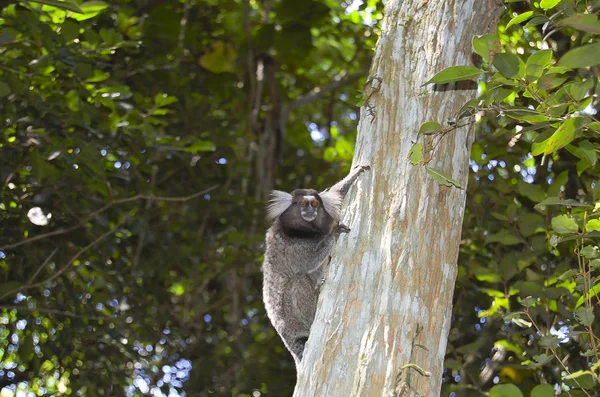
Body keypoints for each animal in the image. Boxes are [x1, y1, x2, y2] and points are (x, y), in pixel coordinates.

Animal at [260, 163, 368, 366]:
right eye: (303, 204)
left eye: (316, 204)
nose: (311, 211)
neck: (303, 231)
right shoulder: (290, 247)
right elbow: (309, 262)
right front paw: (334, 234)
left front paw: (352, 176)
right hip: (295, 320)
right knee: (298, 282)